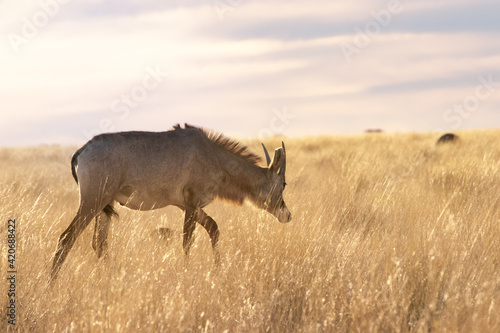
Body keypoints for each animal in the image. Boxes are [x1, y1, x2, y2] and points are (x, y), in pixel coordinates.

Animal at [48, 123, 292, 278]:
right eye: (283, 184)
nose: (287, 215)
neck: (214, 155)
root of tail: (81, 152)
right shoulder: (191, 203)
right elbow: (187, 241)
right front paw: (187, 272)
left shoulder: (188, 205)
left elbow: (213, 228)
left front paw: (218, 270)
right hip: (91, 203)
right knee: (66, 238)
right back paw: (51, 284)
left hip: (104, 206)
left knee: (99, 244)